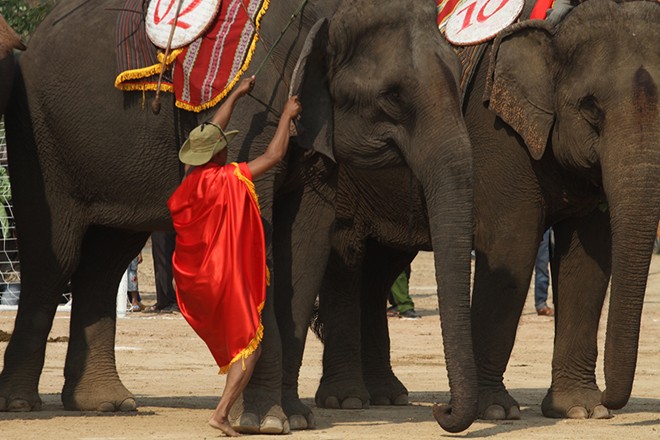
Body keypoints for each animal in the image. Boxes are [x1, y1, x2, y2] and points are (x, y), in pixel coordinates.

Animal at [2, 0, 480, 434]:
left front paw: (297, 418)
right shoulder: (261, 110)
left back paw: (108, 404)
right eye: (391, 97)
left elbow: (306, 244)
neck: (329, 12)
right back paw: (23, 403)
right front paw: (266, 421)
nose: (438, 410)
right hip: (39, 134)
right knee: (55, 259)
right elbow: (261, 236)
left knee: (106, 261)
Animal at [314, 0, 660, 428]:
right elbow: (511, 247)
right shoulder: (497, 132)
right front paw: (496, 410)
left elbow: (588, 260)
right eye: (591, 108)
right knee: (346, 258)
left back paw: (387, 395)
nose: (439, 408)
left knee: (380, 270)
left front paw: (581, 409)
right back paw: (347, 400)